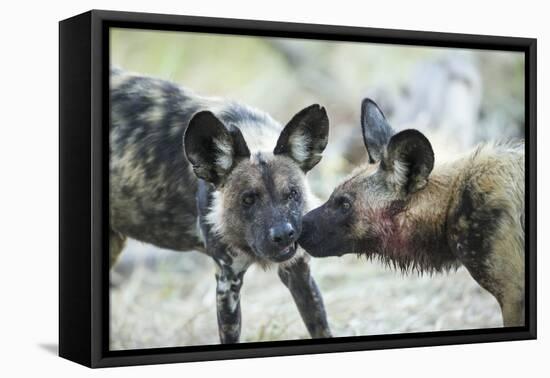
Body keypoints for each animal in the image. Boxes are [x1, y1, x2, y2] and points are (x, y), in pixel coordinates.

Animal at [108, 68, 332, 342]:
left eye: (292, 194)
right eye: (248, 199)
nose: (283, 235)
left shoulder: (299, 270)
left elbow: (320, 326)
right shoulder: (227, 283)